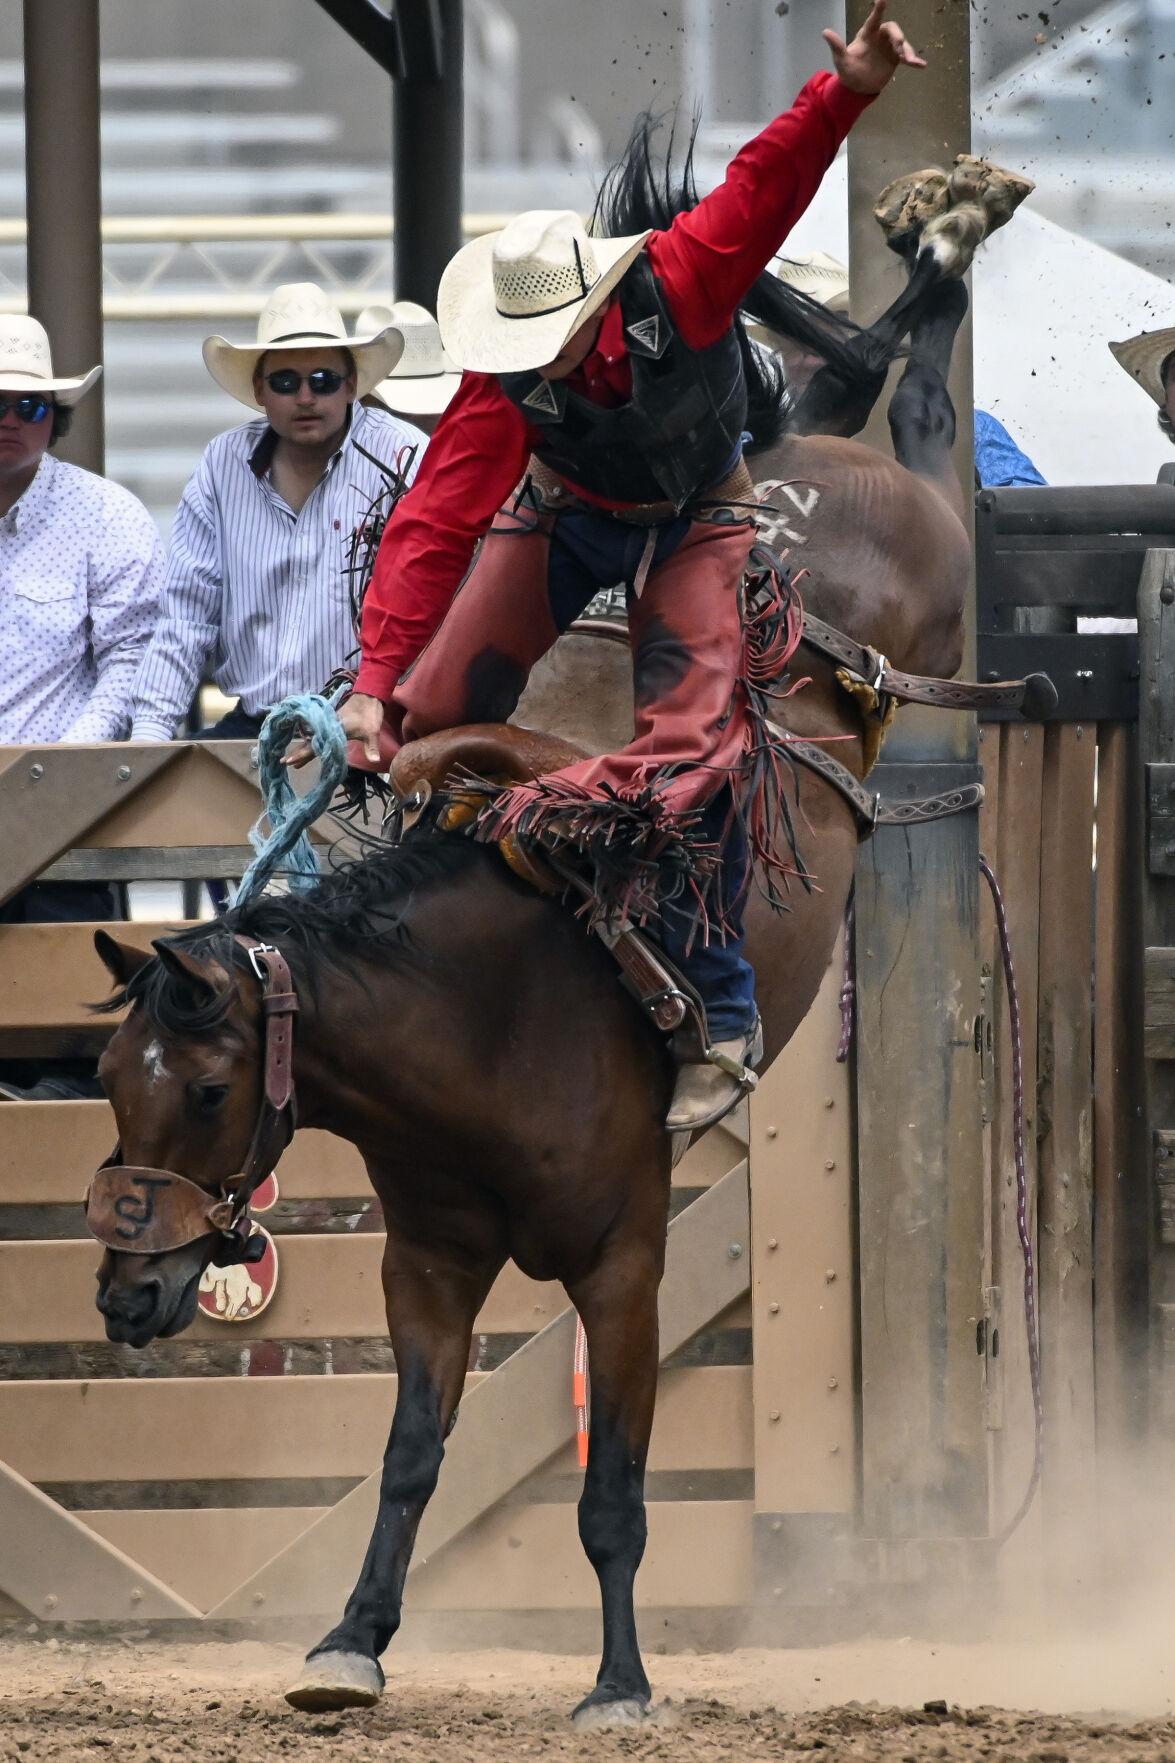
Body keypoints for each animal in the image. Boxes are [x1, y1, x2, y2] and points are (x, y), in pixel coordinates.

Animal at [84, 148, 1037, 1720]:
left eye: (210, 1087)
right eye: (110, 1081)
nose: (124, 1283)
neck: (480, 1025)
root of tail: (780, 487)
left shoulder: (627, 1264)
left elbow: (612, 1495)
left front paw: (620, 1678)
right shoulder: (425, 1265)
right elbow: (409, 1458)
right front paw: (349, 1641)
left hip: (920, 563)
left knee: (899, 395)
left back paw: (943, 233)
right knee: (841, 367)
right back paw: (920, 236)